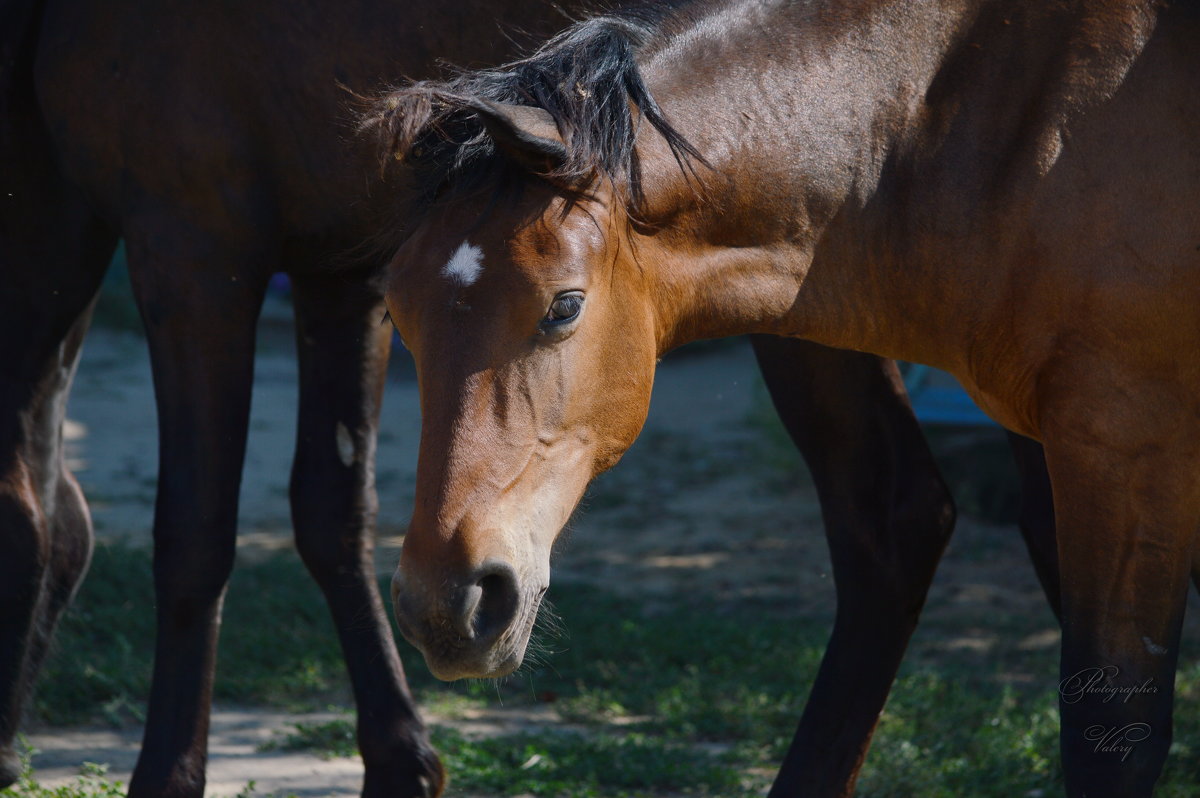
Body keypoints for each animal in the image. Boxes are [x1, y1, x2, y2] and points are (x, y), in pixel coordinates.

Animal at [0, 1, 1056, 796]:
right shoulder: (341, 275)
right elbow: (330, 513)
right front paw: (401, 762)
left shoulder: (191, 248)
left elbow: (191, 537)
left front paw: (166, 778)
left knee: (893, 520)